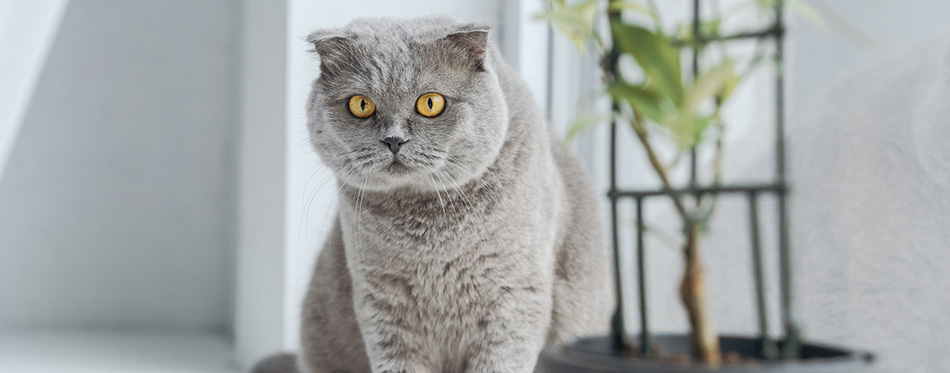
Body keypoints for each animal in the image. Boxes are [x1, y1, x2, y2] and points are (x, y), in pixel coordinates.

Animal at [255, 16, 608, 372]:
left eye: (430, 103)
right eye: (360, 105)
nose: (393, 140)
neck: (429, 238)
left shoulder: (515, 296)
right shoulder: (381, 301)